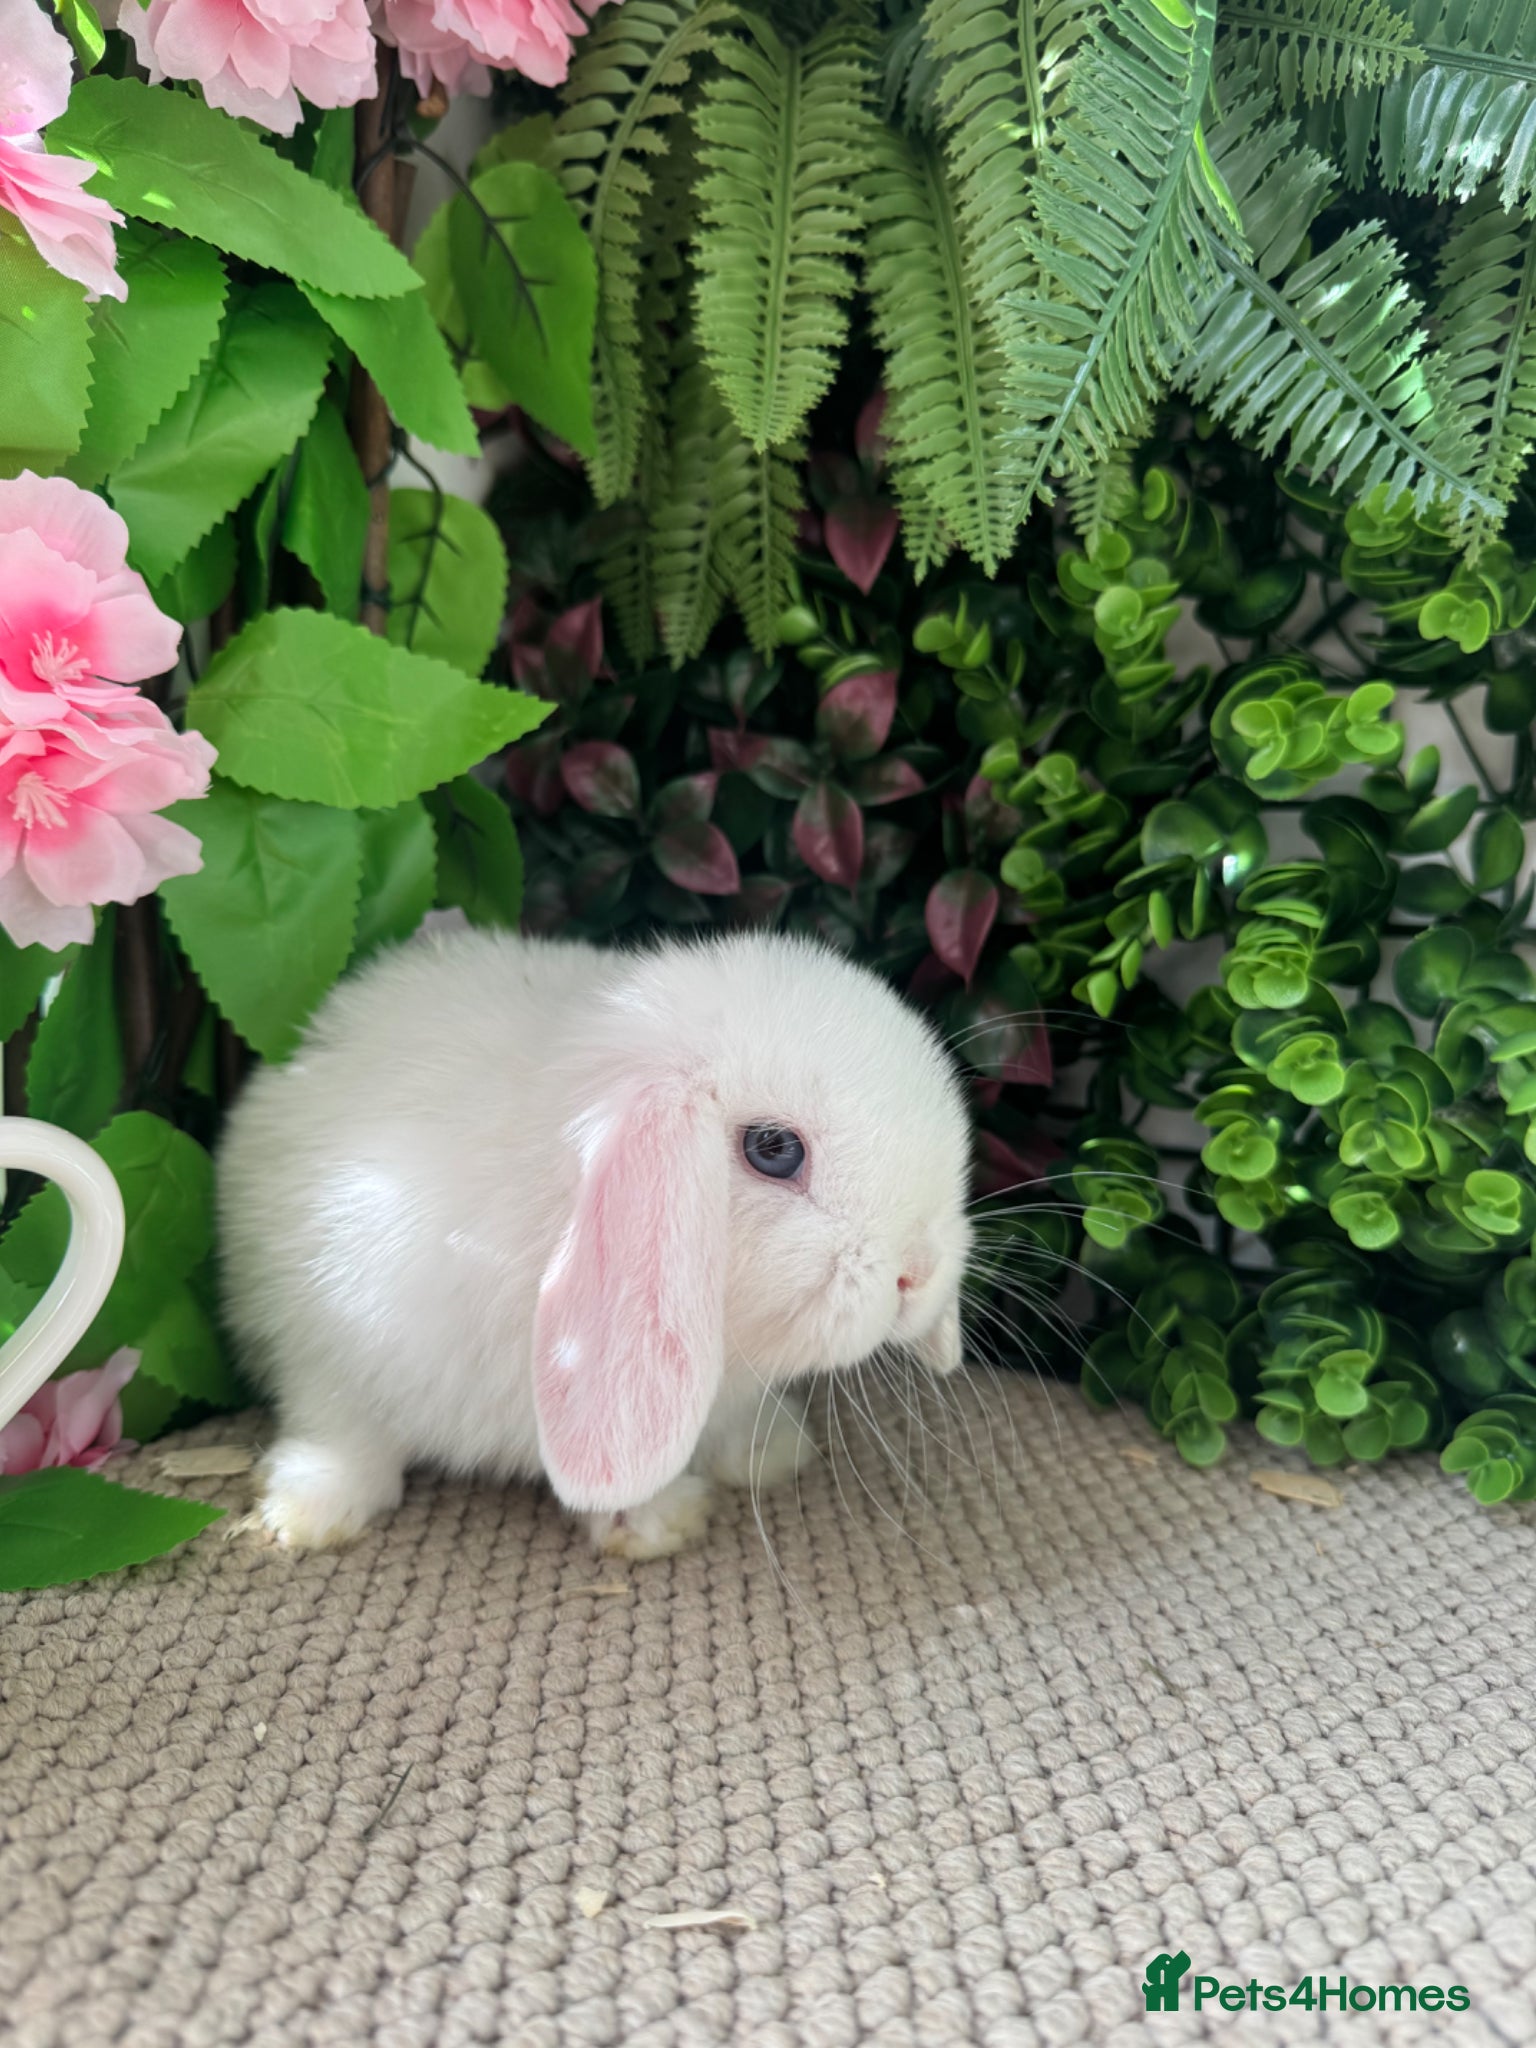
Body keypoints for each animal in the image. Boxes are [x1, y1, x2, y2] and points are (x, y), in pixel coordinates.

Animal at [217, 925, 974, 1558]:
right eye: (775, 1150)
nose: (919, 1274)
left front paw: (662, 1518)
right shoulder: (331, 1342)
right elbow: (342, 1434)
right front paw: (304, 1516)